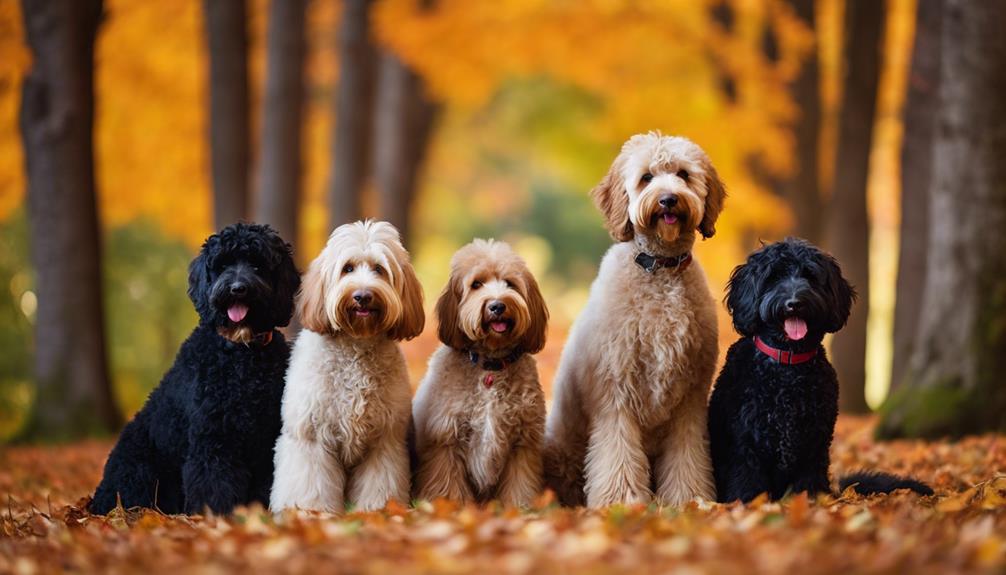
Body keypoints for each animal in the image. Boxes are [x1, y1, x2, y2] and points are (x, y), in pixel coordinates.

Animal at [90, 222, 297, 514]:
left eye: (258, 265)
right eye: (223, 265)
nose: (238, 288)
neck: (241, 353)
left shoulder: (266, 438)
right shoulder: (213, 437)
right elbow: (214, 483)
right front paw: (216, 517)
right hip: (139, 469)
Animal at [267, 220, 424, 512]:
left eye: (379, 269)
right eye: (347, 268)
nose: (363, 295)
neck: (356, 345)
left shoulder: (384, 441)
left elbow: (380, 481)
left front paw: (378, 511)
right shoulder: (311, 436)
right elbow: (310, 480)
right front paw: (310, 511)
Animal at [410, 240, 551, 504]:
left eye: (510, 283)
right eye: (476, 284)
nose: (497, 305)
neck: (490, 366)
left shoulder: (522, 443)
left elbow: (520, 485)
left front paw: (520, 508)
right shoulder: (446, 438)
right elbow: (449, 485)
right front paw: (453, 507)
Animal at [547, 131, 728, 506]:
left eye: (683, 175)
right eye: (646, 177)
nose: (669, 199)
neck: (660, 268)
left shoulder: (690, 398)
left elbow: (688, 453)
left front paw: (690, 498)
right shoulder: (615, 391)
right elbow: (617, 453)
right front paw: (621, 500)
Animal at [708, 239, 925, 502]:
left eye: (810, 276)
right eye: (774, 276)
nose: (794, 303)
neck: (788, 365)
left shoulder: (815, 441)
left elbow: (809, 480)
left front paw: (810, 503)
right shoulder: (744, 440)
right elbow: (746, 478)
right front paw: (749, 504)